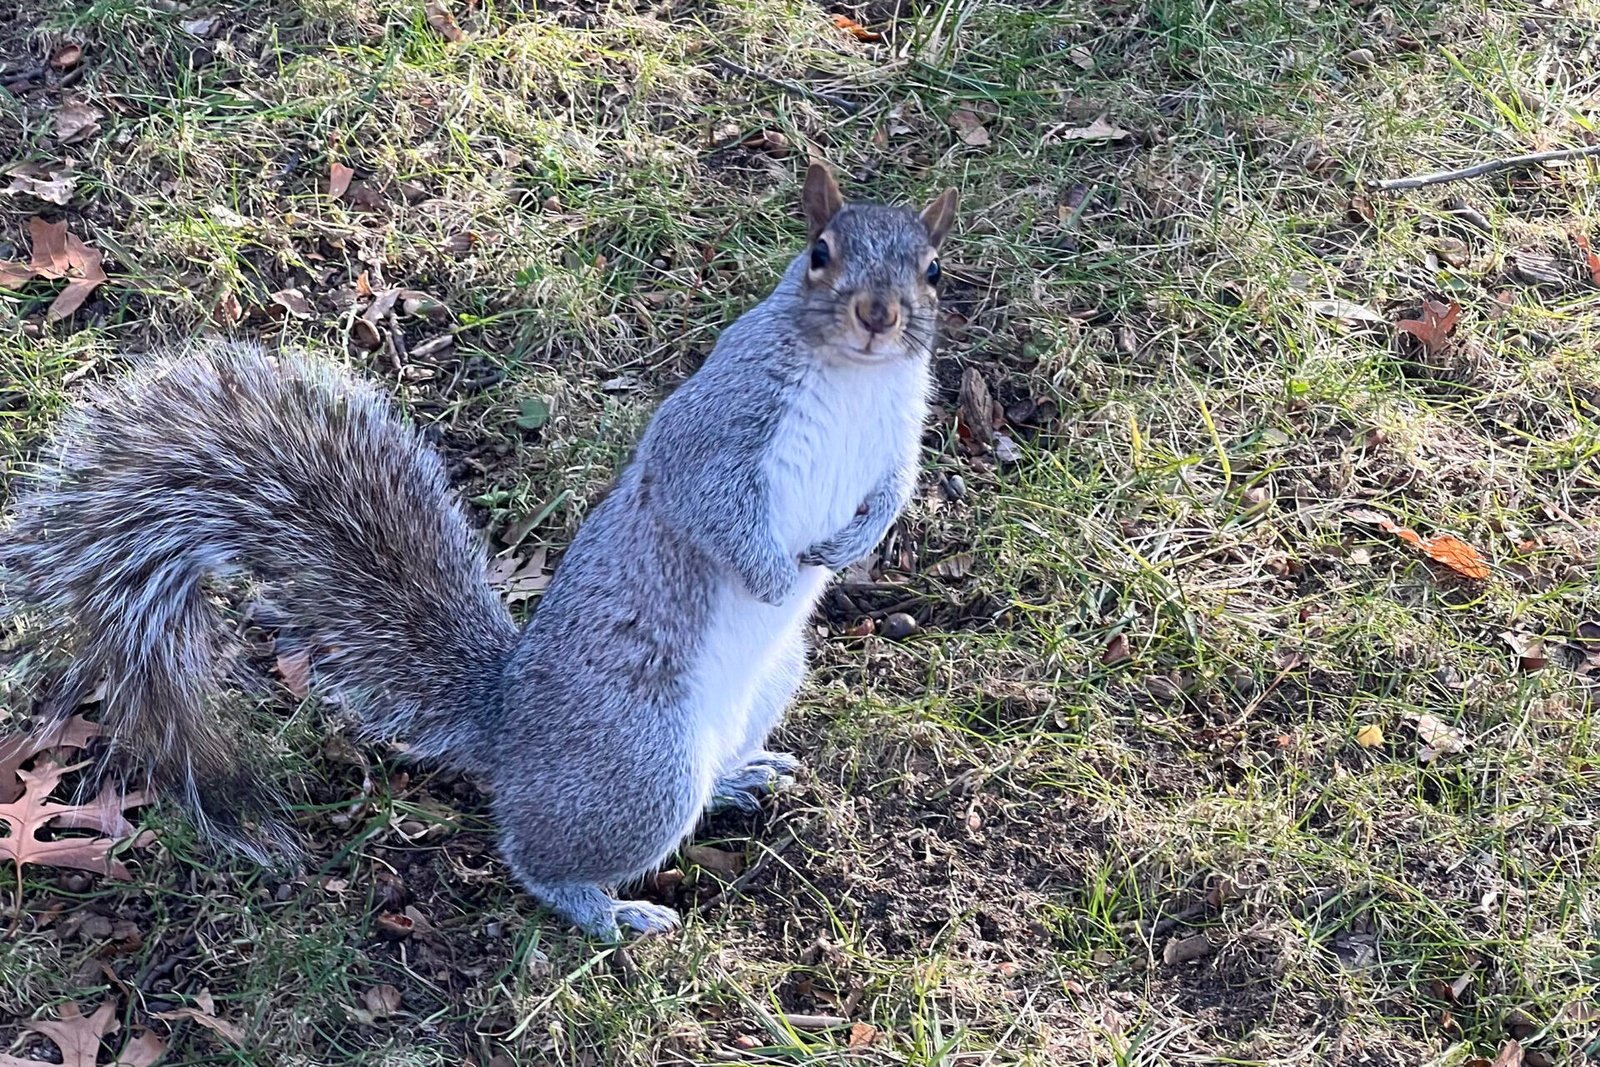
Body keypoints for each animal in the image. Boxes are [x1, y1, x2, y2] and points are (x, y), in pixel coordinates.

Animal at [0, 163, 958, 940]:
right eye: (820, 254)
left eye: (933, 270)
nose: (880, 316)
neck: (856, 377)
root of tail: (507, 724)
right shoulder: (718, 428)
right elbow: (711, 504)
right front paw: (771, 572)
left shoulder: (900, 436)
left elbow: (892, 494)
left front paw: (851, 543)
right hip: (642, 761)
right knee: (536, 858)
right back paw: (610, 910)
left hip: (764, 688)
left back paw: (737, 779)